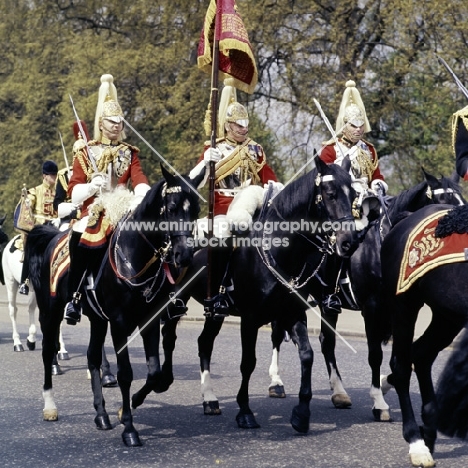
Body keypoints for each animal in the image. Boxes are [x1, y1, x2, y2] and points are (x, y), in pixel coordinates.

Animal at [25, 166, 201, 448]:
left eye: (195, 209)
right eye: (172, 207)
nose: (183, 256)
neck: (135, 256)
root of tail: (52, 238)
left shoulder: (150, 320)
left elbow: (154, 372)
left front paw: (125, 409)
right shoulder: (119, 323)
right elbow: (125, 373)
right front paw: (129, 428)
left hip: (97, 320)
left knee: (92, 357)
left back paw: (101, 415)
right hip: (49, 313)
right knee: (46, 352)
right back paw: (50, 407)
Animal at [133, 155, 360, 434]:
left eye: (354, 195)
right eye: (330, 193)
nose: (350, 241)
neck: (282, 249)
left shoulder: (292, 313)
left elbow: (307, 355)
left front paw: (301, 413)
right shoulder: (250, 318)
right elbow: (248, 362)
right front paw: (245, 411)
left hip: (215, 312)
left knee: (204, 343)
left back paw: (209, 398)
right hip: (178, 299)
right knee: (169, 335)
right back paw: (167, 380)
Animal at [380, 204, 468, 468]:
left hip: (447, 315)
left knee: (421, 355)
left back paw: (428, 429)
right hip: (404, 305)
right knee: (401, 366)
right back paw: (416, 442)